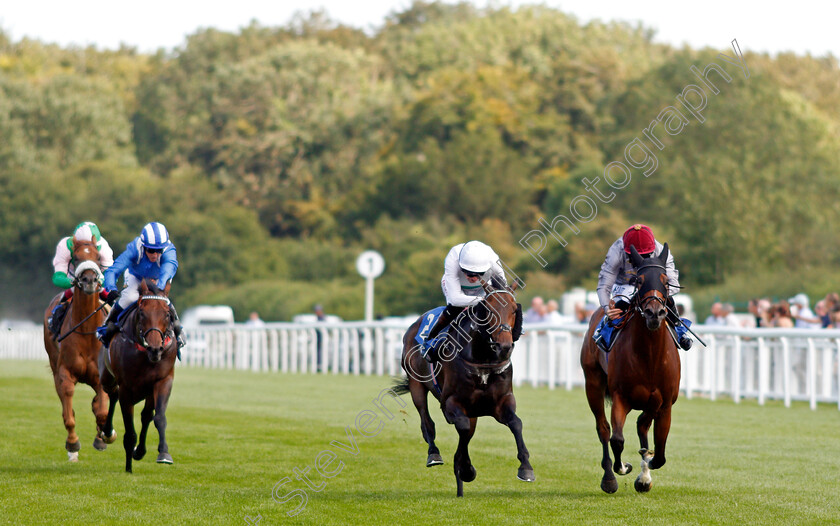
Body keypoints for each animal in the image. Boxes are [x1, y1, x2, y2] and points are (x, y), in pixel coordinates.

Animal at [42, 238, 115, 462]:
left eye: (97, 257)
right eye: (76, 258)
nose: (90, 280)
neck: (85, 330)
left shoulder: (100, 377)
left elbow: (101, 411)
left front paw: (104, 437)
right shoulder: (65, 373)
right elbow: (69, 414)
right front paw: (73, 444)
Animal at [98, 280, 177, 474]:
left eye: (167, 314)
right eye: (142, 313)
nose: (156, 349)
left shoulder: (163, 380)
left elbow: (158, 417)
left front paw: (163, 453)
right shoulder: (126, 388)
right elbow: (130, 433)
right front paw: (128, 468)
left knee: (146, 415)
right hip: (107, 378)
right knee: (113, 395)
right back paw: (108, 432)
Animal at [396, 280, 532, 500]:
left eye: (513, 309)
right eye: (489, 310)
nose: (503, 346)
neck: (482, 359)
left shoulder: (502, 402)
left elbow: (516, 423)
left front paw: (526, 468)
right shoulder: (451, 403)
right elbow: (462, 427)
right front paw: (465, 468)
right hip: (416, 384)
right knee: (427, 423)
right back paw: (434, 454)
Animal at [584, 243, 684, 496]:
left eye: (666, 280)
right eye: (639, 280)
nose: (654, 313)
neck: (649, 357)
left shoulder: (664, 402)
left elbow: (659, 452)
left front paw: (645, 471)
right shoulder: (621, 396)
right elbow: (617, 439)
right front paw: (623, 467)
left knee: (642, 426)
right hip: (593, 384)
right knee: (603, 429)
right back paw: (609, 478)